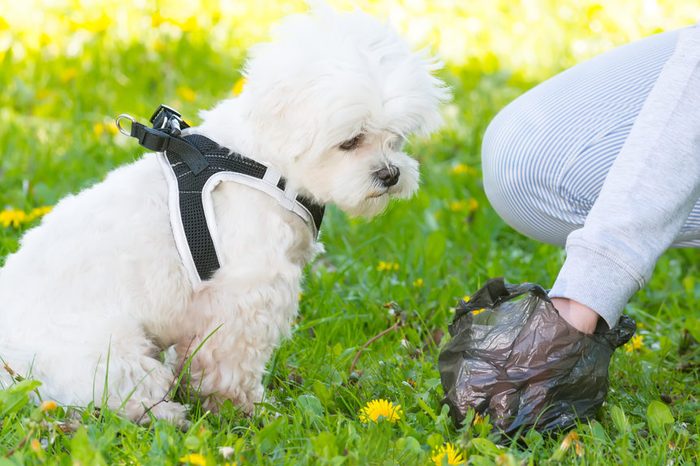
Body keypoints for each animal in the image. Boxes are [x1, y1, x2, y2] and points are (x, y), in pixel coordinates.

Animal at [0, 3, 448, 422]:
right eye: (351, 141)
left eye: (396, 138)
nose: (390, 174)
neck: (264, 162)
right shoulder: (245, 293)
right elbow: (230, 361)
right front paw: (243, 407)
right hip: (109, 352)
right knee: (122, 394)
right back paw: (165, 413)